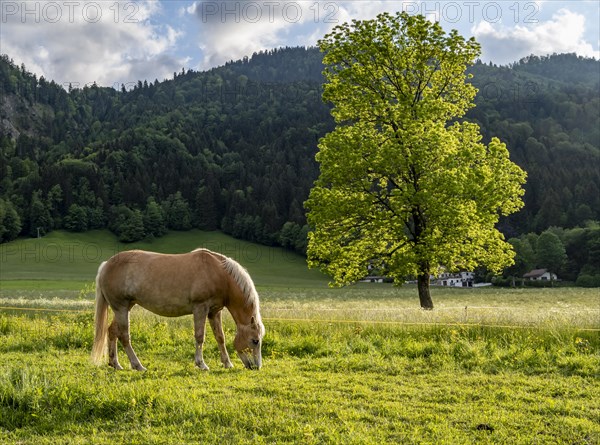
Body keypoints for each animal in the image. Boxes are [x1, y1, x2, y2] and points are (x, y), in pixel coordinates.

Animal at [91, 248, 264, 370]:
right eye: (255, 340)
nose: (256, 367)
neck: (219, 273)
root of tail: (106, 265)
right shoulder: (200, 308)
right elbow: (200, 336)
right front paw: (201, 364)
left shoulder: (214, 312)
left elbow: (220, 337)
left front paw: (227, 363)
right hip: (121, 308)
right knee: (124, 336)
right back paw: (138, 365)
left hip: (125, 307)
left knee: (112, 331)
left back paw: (115, 364)